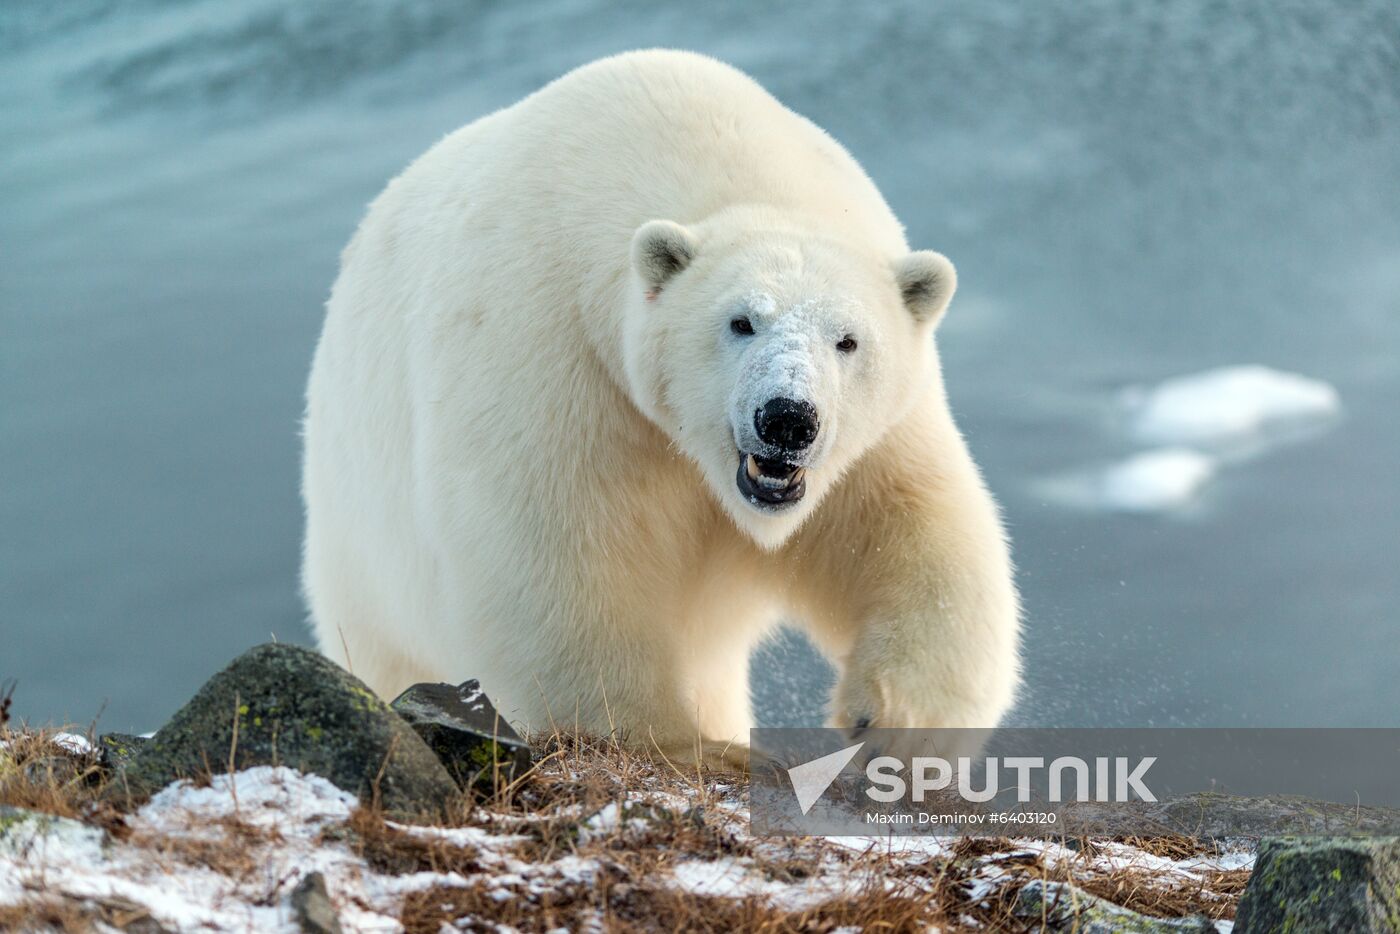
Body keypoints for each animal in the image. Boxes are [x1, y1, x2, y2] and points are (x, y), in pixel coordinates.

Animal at [301, 49, 1020, 769]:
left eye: (848, 340)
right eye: (740, 322)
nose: (787, 419)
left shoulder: (874, 436)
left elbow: (912, 527)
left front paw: (892, 721)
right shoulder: (557, 358)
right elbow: (556, 550)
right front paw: (677, 743)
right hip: (363, 551)